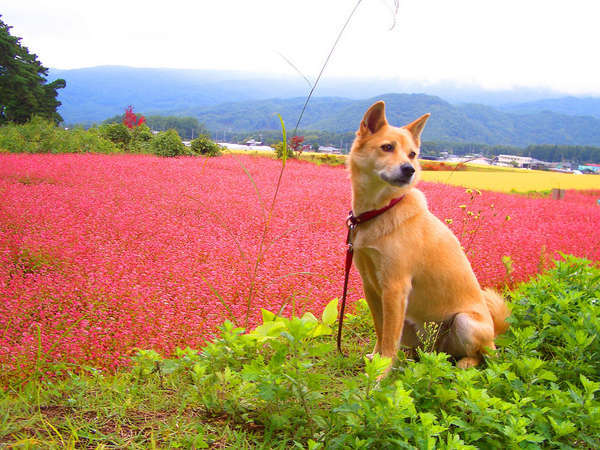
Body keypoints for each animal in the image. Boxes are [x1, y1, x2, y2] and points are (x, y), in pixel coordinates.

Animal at [350, 101, 508, 372]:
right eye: (387, 147)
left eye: (413, 154)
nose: (409, 169)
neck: (380, 210)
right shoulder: (371, 286)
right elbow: (381, 331)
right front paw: (375, 359)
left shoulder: (395, 288)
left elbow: (389, 341)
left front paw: (381, 373)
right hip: (413, 327)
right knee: (421, 352)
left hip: (465, 322)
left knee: (482, 357)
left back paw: (465, 362)